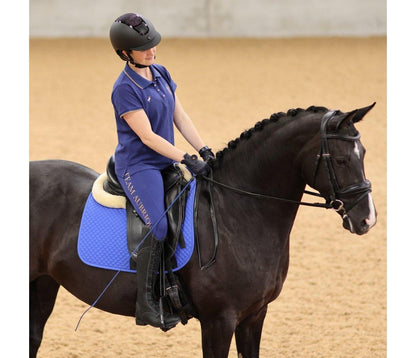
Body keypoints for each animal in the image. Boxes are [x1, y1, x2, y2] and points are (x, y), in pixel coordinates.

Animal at [29, 103, 376, 356]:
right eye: (341, 160)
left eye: (364, 154)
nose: (367, 220)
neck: (238, 211)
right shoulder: (218, 320)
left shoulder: (255, 315)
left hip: (44, 282)